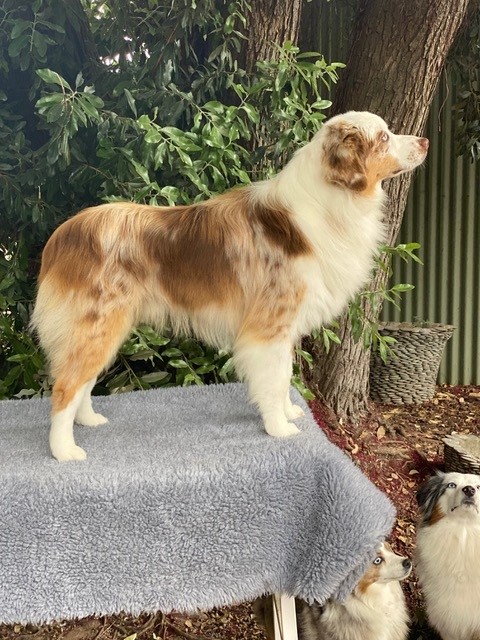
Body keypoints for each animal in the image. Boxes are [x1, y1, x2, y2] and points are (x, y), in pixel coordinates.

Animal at [31, 111, 428, 461]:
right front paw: (279, 428)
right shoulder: (270, 324)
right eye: (384, 137)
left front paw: (288, 412)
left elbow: (284, 376)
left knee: (82, 378)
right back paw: (64, 451)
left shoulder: (284, 326)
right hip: (97, 321)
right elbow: (274, 378)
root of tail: (64, 234)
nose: (424, 142)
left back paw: (87, 420)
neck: (330, 200)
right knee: (66, 385)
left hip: (104, 326)